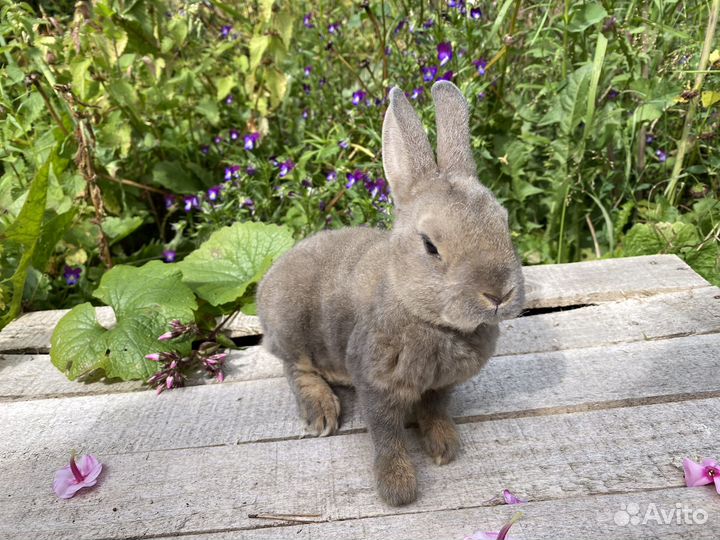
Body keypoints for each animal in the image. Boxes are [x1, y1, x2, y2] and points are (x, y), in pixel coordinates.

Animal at [256, 80, 525, 506]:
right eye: (430, 246)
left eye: (504, 224)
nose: (499, 294)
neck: (428, 319)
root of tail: (266, 283)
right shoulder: (376, 385)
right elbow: (387, 436)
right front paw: (398, 489)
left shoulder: (440, 387)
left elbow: (435, 411)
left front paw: (445, 449)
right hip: (293, 327)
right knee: (295, 367)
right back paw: (322, 413)